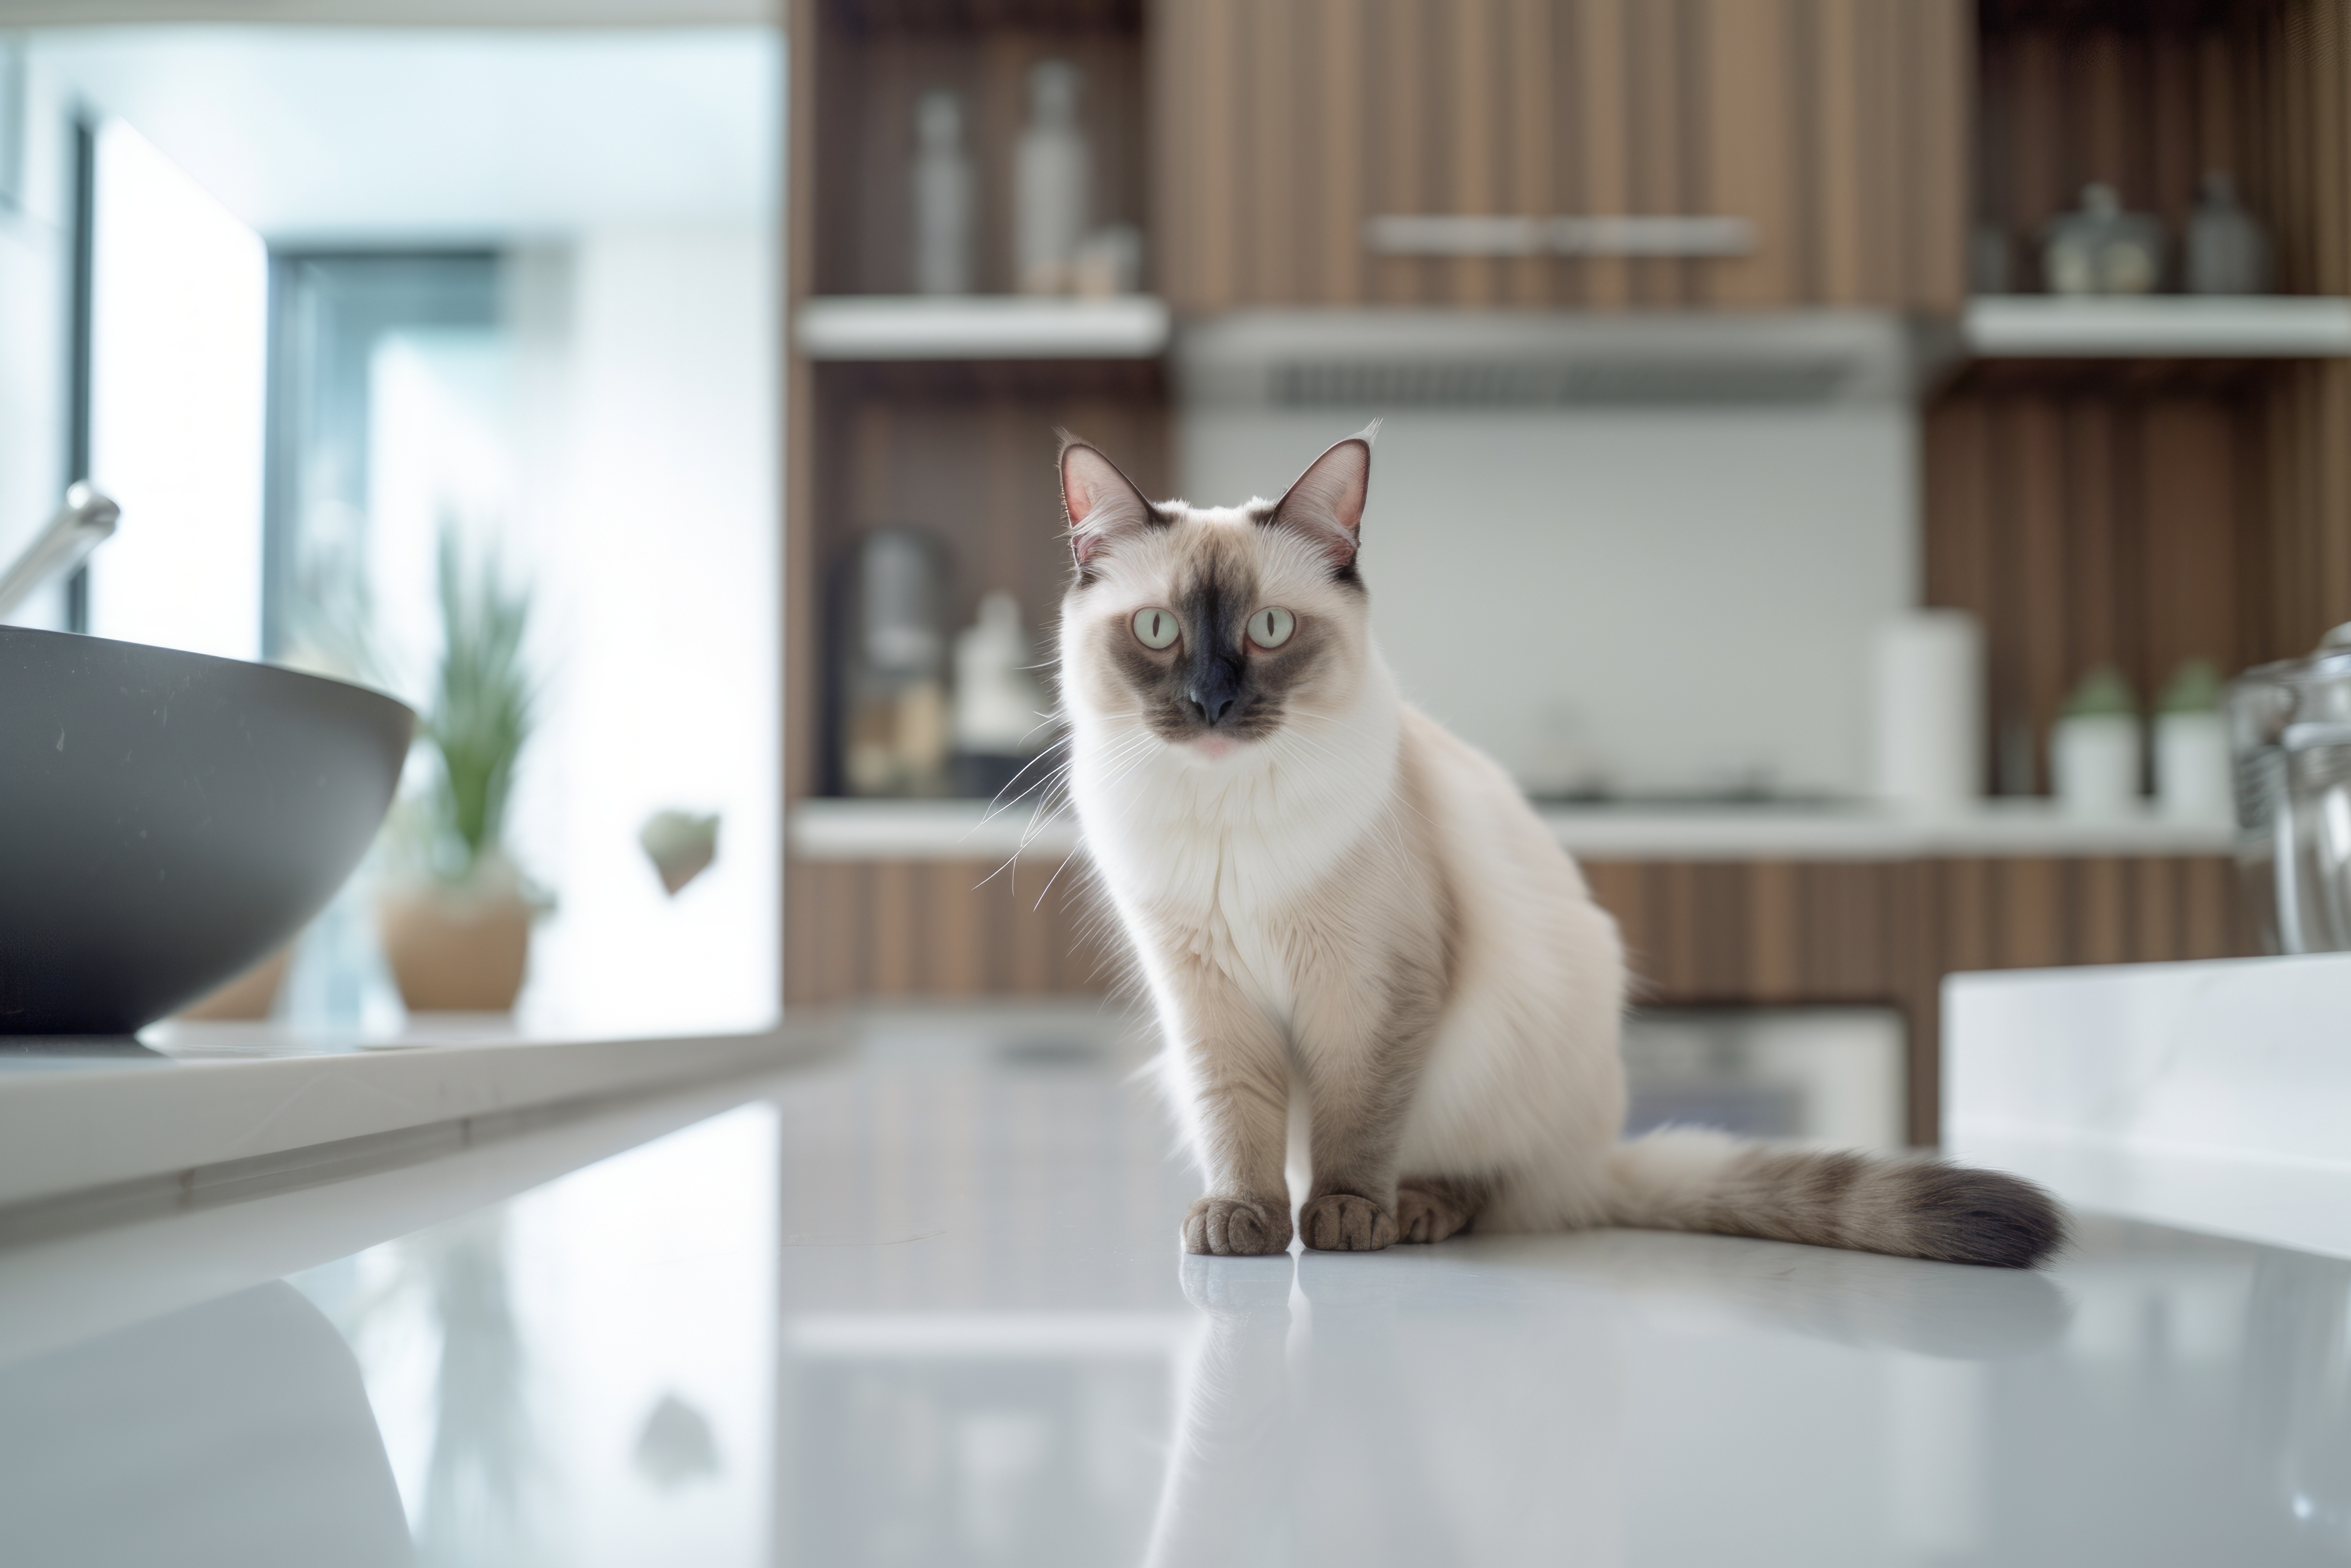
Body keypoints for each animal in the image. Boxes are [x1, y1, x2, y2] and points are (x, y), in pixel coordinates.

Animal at [1058, 425, 2069, 1260]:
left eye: (1268, 629)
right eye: (1157, 629)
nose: (1210, 705)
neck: (1225, 815)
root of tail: (1594, 1158)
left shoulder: (1373, 991)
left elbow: (1355, 1123)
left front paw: (1340, 1217)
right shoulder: (1205, 996)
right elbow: (1238, 1124)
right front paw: (1243, 1222)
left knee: (1492, 1186)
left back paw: (1410, 1212)